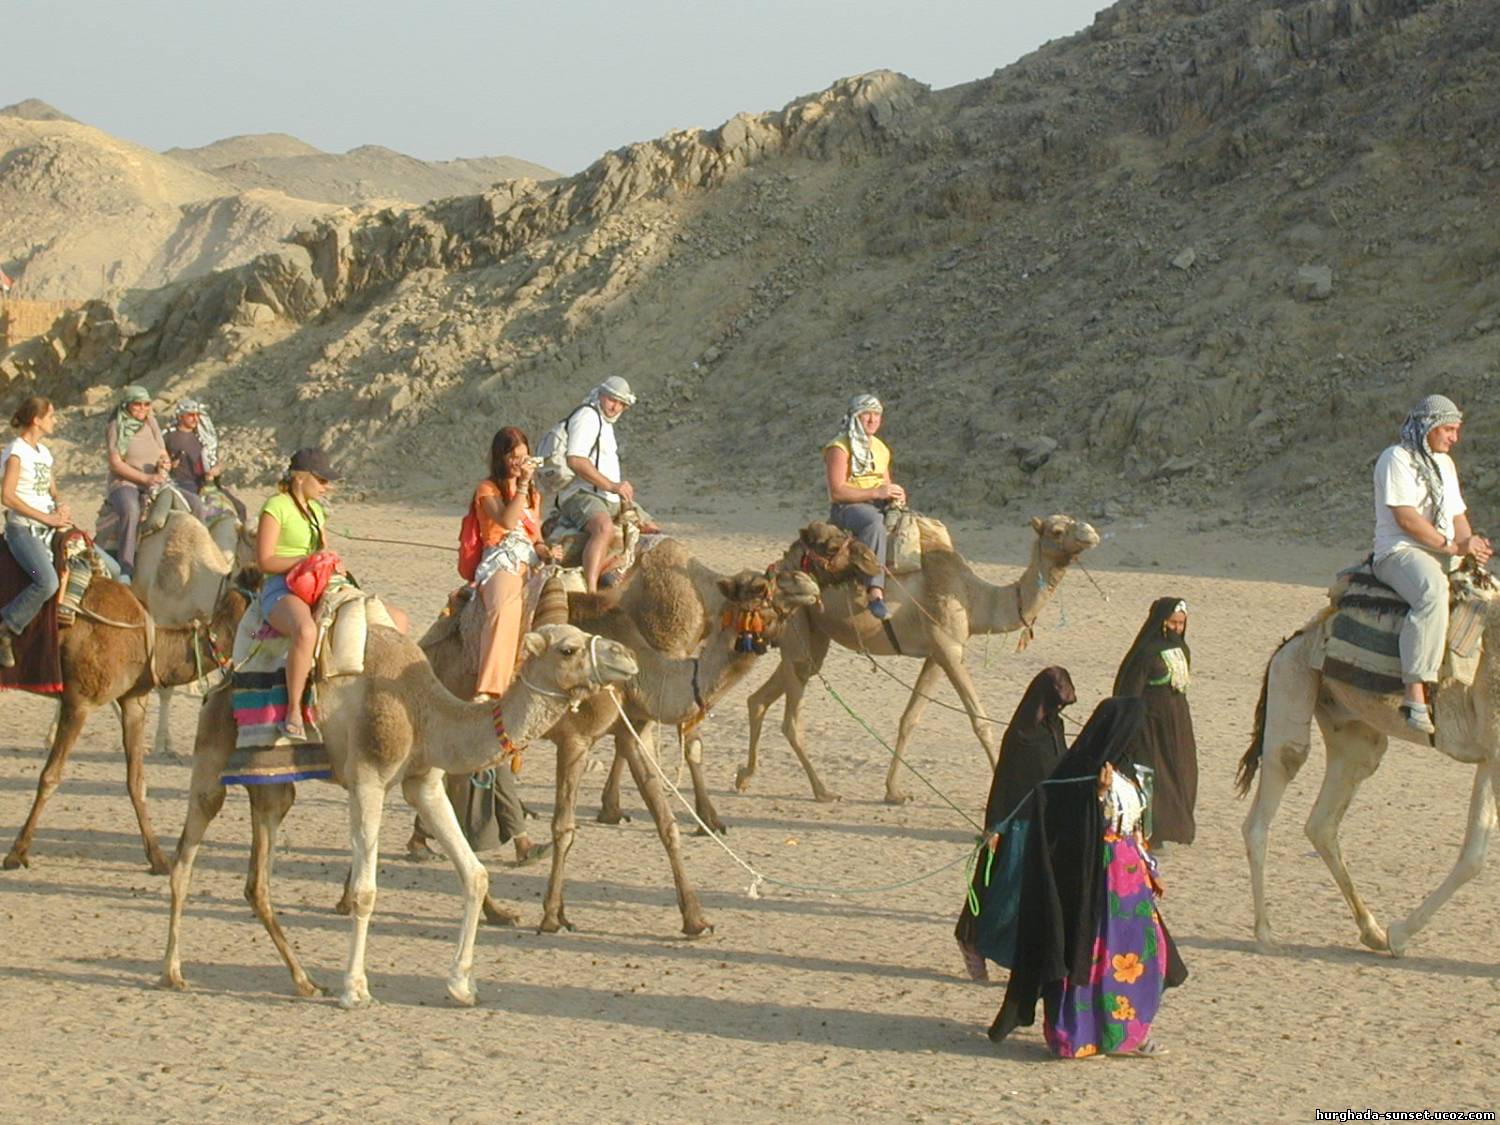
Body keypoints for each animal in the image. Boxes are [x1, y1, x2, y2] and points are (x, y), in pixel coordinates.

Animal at [2, 576, 252, 876]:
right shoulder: (78, 702)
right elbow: (50, 776)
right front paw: (16, 854)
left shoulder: (134, 700)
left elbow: (137, 782)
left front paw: (159, 859)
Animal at [159, 621, 639, 1008]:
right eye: (568, 649)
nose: (627, 657)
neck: (423, 711)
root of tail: (221, 684)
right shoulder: (368, 779)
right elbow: (365, 892)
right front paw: (356, 989)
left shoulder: (423, 781)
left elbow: (475, 874)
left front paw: (462, 985)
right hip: (212, 755)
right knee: (186, 855)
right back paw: (173, 972)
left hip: (273, 786)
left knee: (257, 881)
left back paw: (305, 981)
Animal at [420, 561, 822, 936]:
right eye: (760, 586)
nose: (809, 583)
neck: (642, 674)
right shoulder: (575, 738)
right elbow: (564, 828)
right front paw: (552, 917)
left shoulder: (634, 731)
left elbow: (666, 822)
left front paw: (696, 920)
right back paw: (488, 900)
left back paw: (488, 903)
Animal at [738, 516, 1104, 804]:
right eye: (1057, 529)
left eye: (1074, 519)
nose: (1090, 532)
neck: (973, 597)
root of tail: (776, 571)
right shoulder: (948, 649)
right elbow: (980, 721)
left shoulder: (937, 655)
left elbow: (909, 718)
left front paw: (894, 792)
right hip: (798, 628)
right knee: (790, 719)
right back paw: (822, 791)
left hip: (814, 636)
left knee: (759, 698)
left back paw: (744, 776)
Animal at [1236, 576, 1500, 954]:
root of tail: (1292, 640)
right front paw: (1400, 933)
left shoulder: (1489, 756)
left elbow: (1473, 856)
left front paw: (1397, 934)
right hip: (1292, 685)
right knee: (1267, 806)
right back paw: (1266, 935)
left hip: (1355, 738)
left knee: (1321, 824)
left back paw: (1371, 930)